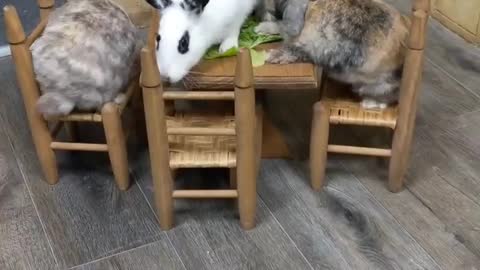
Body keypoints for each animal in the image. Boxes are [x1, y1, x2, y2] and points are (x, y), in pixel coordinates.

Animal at [256, 0, 410, 109]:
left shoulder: (307, 44)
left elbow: (289, 46)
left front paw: (268, 54)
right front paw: (261, 29)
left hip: (376, 86)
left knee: (388, 98)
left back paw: (370, 103)